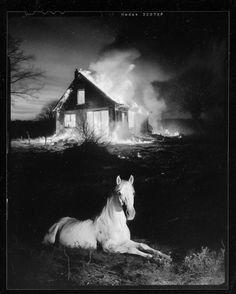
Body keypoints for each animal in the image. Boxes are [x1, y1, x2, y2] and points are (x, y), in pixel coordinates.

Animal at [42, 175, 171, 260]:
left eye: (133, 193)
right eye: (119, 193)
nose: (131, 213)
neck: (115, 224)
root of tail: (61, 221)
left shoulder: (125, 241)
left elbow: (143, 245)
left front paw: (164, 256)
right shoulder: (108, 247)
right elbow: (132, 249)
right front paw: (151, 257)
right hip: (49, 240)